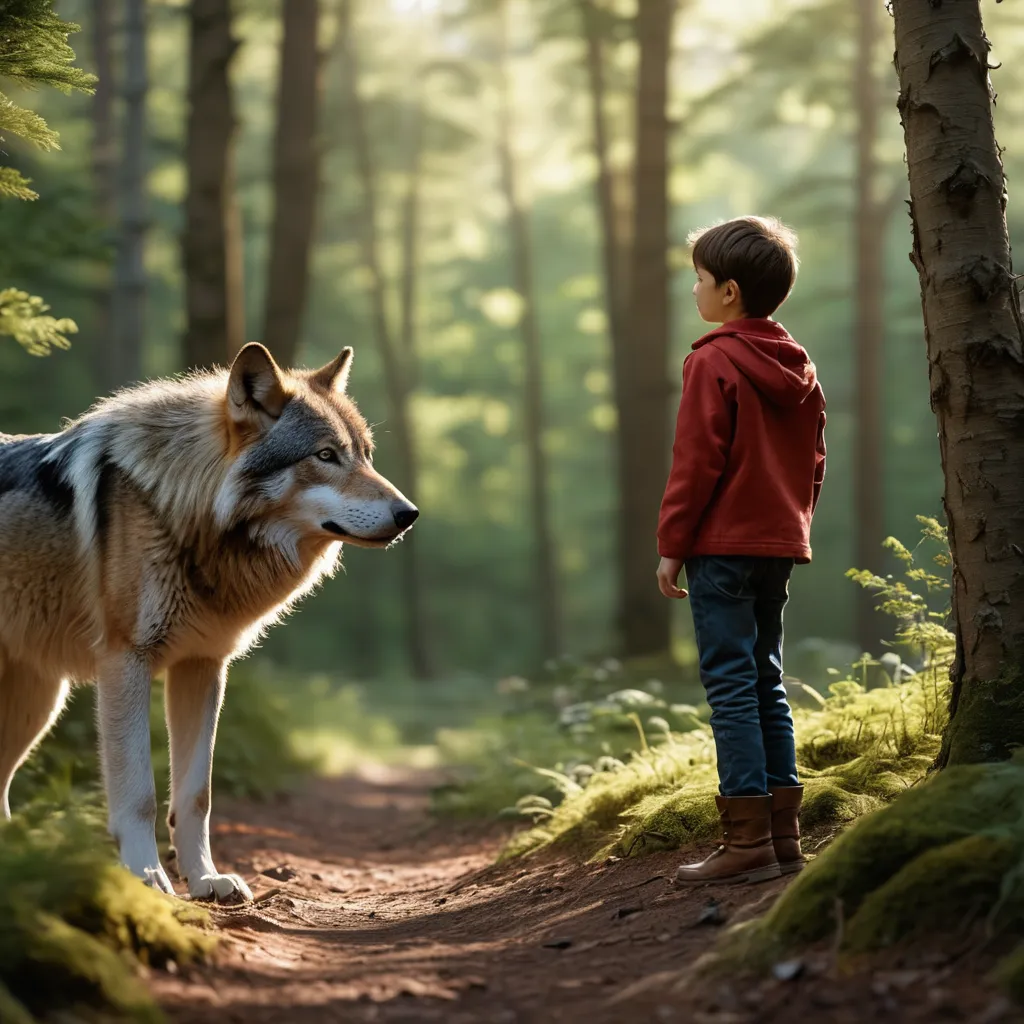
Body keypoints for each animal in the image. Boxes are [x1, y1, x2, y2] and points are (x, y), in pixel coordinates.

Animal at [0, 343, 417, 901]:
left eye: (366, 455)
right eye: (325, 456)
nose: (409, 513)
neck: (182, 510)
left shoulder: (202, 666)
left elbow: (197, 796)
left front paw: (205, 880)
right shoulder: (125, 663)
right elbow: (139, 794)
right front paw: (147, 879)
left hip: (38, 706)